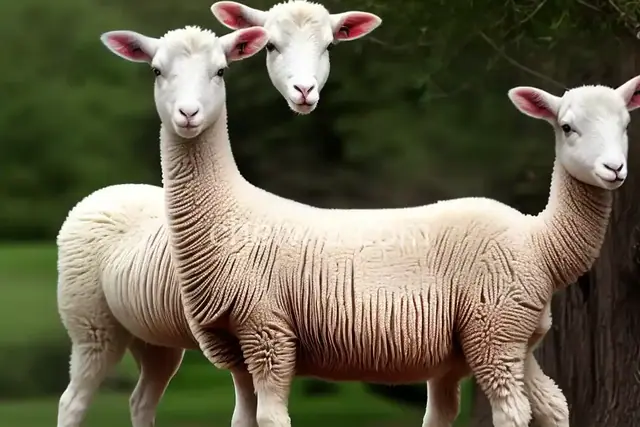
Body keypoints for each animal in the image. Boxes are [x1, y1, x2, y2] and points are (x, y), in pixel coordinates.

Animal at [56, 25, 268, 427]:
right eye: (156, 70)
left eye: (221, 71)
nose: (188, 113)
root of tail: (109, 190)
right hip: (92, 323)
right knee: (72, 401)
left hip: (153, 336)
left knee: (141, 399)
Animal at [100, 21, 640, 427]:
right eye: (156, 70)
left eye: (219, 71)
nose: (187, 114)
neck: (230, 211)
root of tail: (535, 237)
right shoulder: (235, 345)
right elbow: (243, 420)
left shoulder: (269, 334)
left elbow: (273, 419)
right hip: (514, 334)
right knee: (553, 404)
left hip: (495, 330)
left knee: (514, 413)